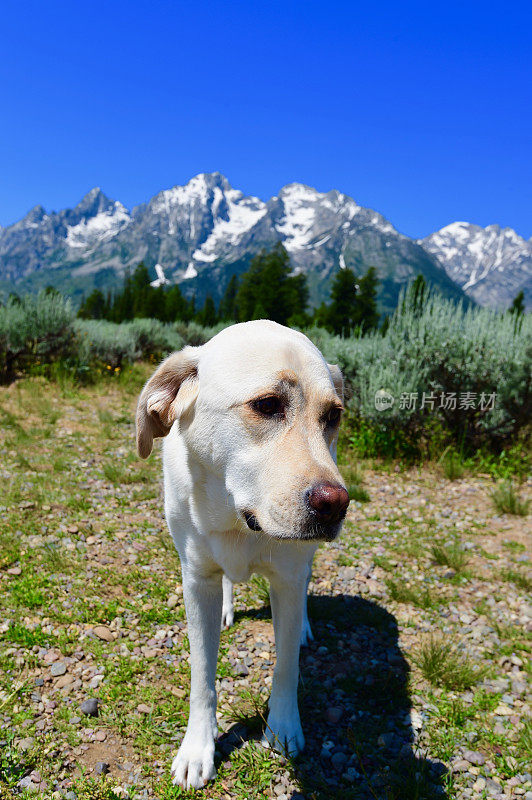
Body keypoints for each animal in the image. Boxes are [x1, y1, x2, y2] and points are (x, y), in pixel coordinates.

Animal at [135, 318, 348, 788]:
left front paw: (283, 729)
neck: (237, 519)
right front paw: (197, 749)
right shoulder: (197, 580)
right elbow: (202, 676)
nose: (336, 504)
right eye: (267, 405)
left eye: (333, 416)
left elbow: (286, 667)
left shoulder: (286, 579)